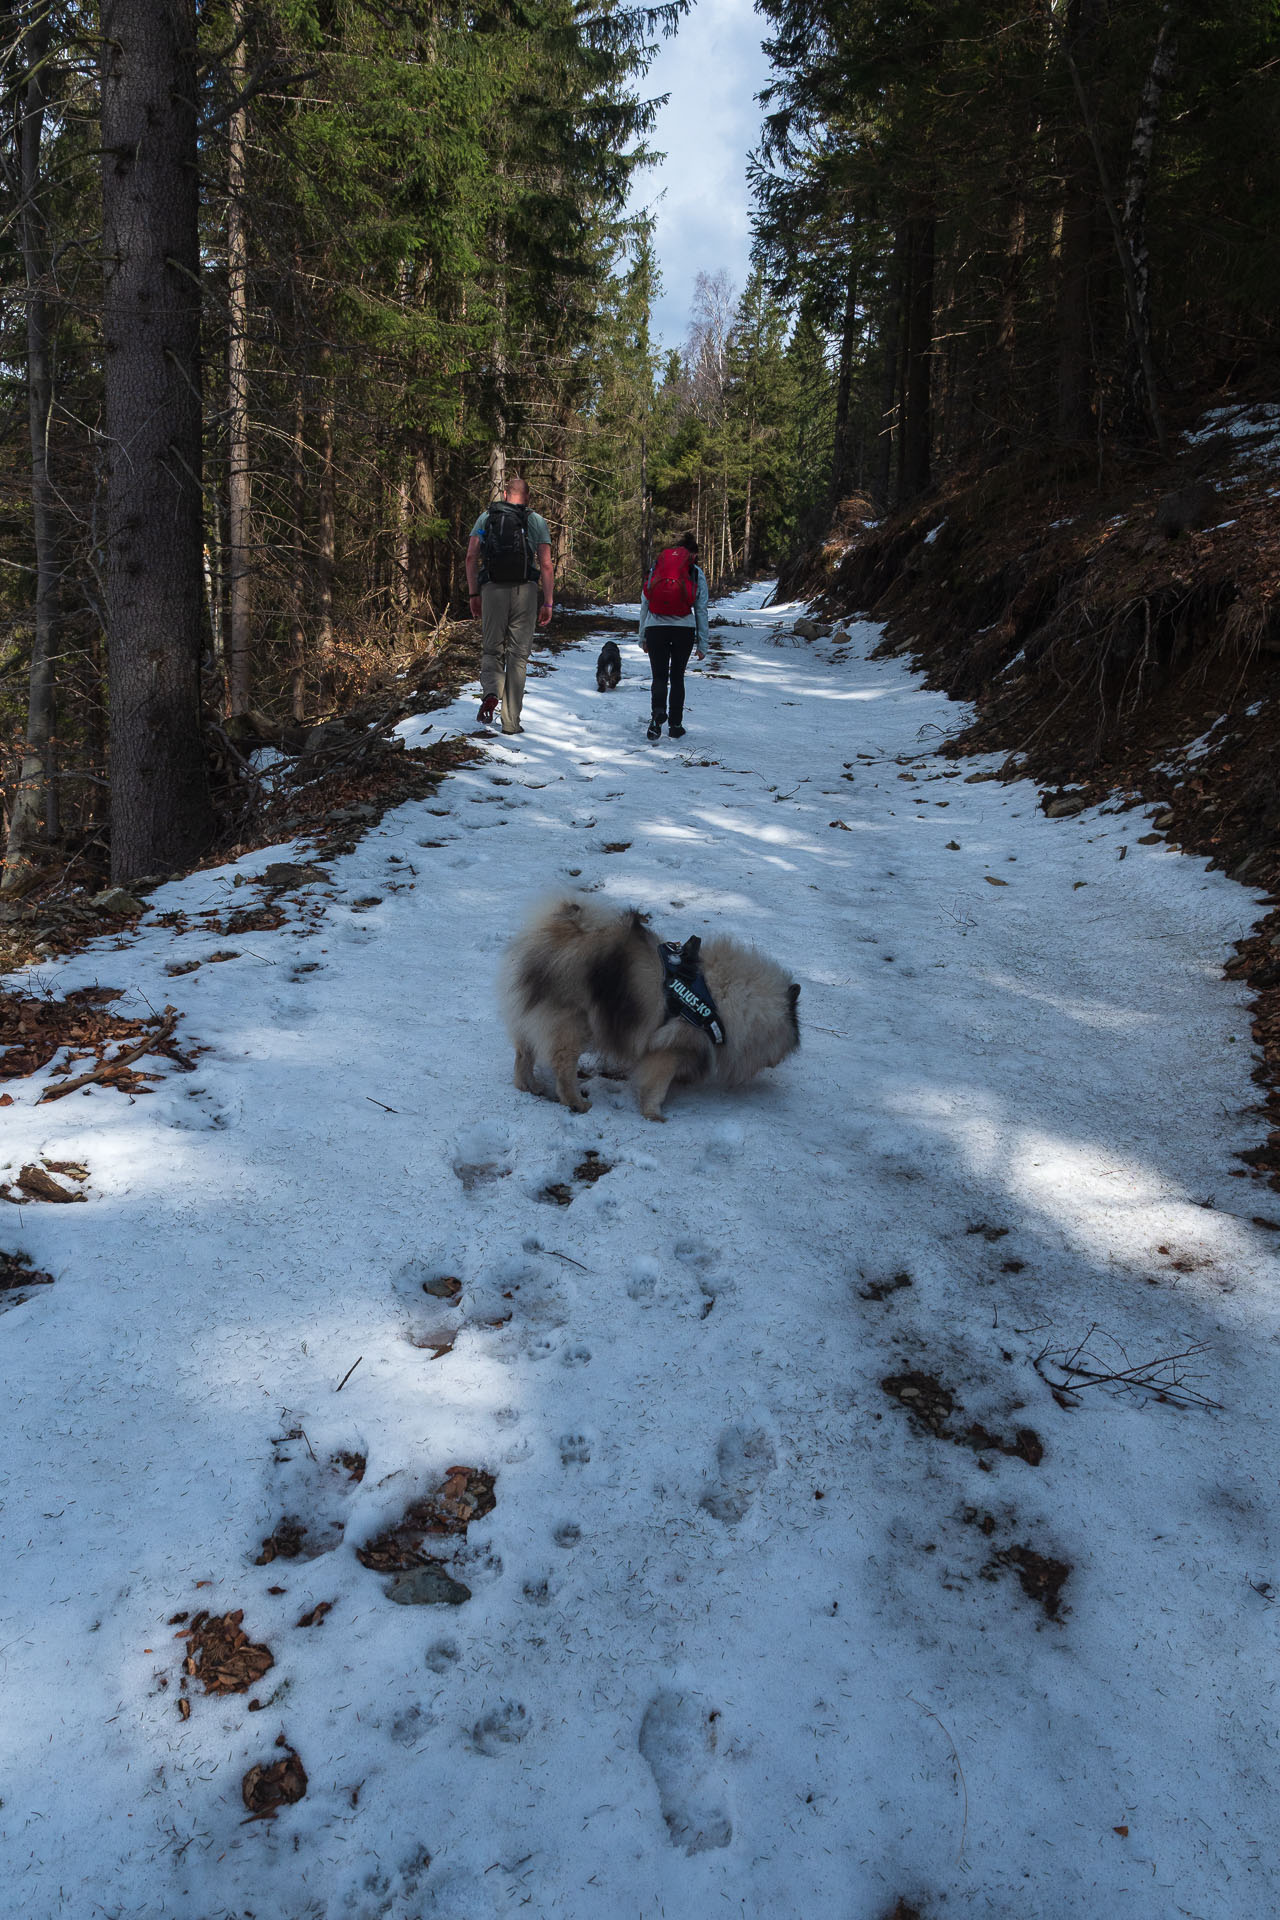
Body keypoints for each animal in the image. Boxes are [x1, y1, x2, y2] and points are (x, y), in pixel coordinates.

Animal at [498, 902, 802, 1121]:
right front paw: (654, 1115)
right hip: (573, 1026)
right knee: (562, 1068)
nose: (777, 1061)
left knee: (523, 1055)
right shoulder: (671, 1047)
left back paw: (529, 1086)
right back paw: (576, 1103)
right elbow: (656, 1086)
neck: (725, 996)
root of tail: (554, 933)